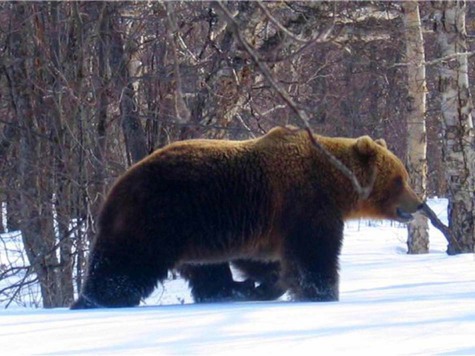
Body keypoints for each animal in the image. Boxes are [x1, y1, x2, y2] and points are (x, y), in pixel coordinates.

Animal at [71, 126, 424, 308]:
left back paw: (232, 290)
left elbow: (267, 258)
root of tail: (116, 187)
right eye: (400, 179)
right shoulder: (306, 204)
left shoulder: (270, 223)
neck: (336, 185)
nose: (419, 203)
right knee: (126, 265)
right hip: (160, 217)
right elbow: (313, 255)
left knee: (207, 272)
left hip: (193, 236)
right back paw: (93, 300)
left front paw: (268, 283)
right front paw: (321, 293)